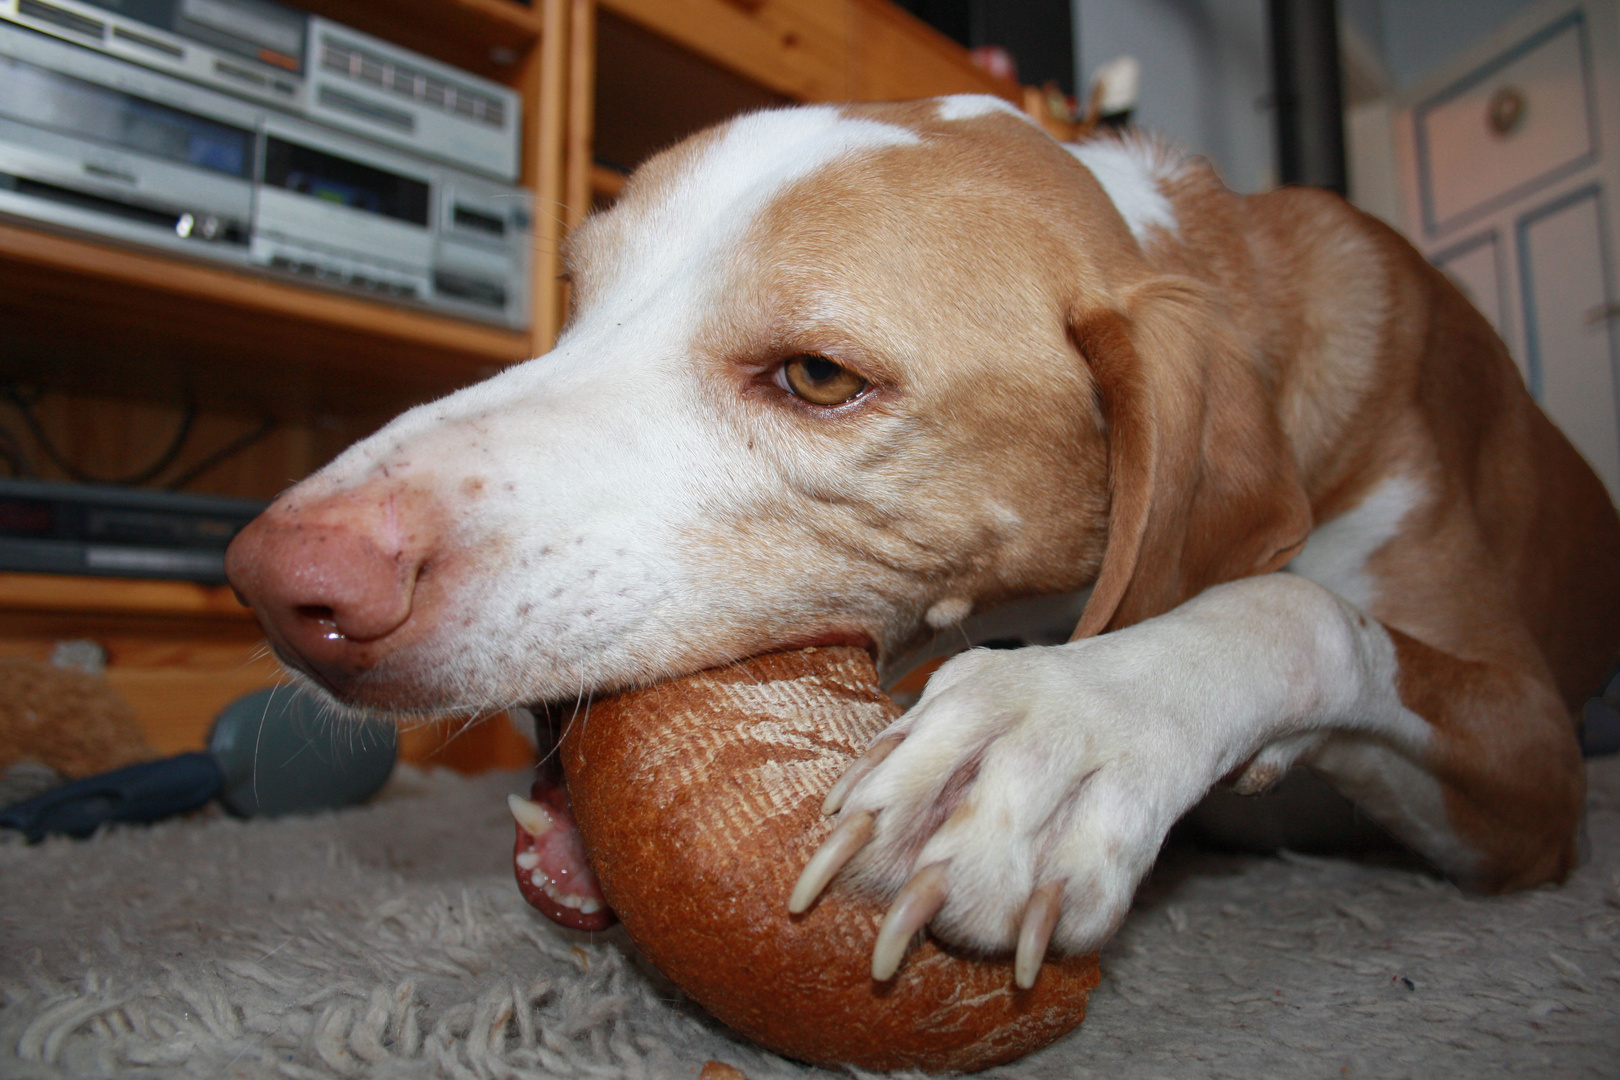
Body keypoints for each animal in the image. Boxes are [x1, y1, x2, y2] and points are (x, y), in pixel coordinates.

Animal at [225, 97, 1620, 990]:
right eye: (577, 300)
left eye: (818, 376)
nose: (280, 586)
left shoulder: (1532, 770)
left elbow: (1303, 607)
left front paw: (1071, 730)